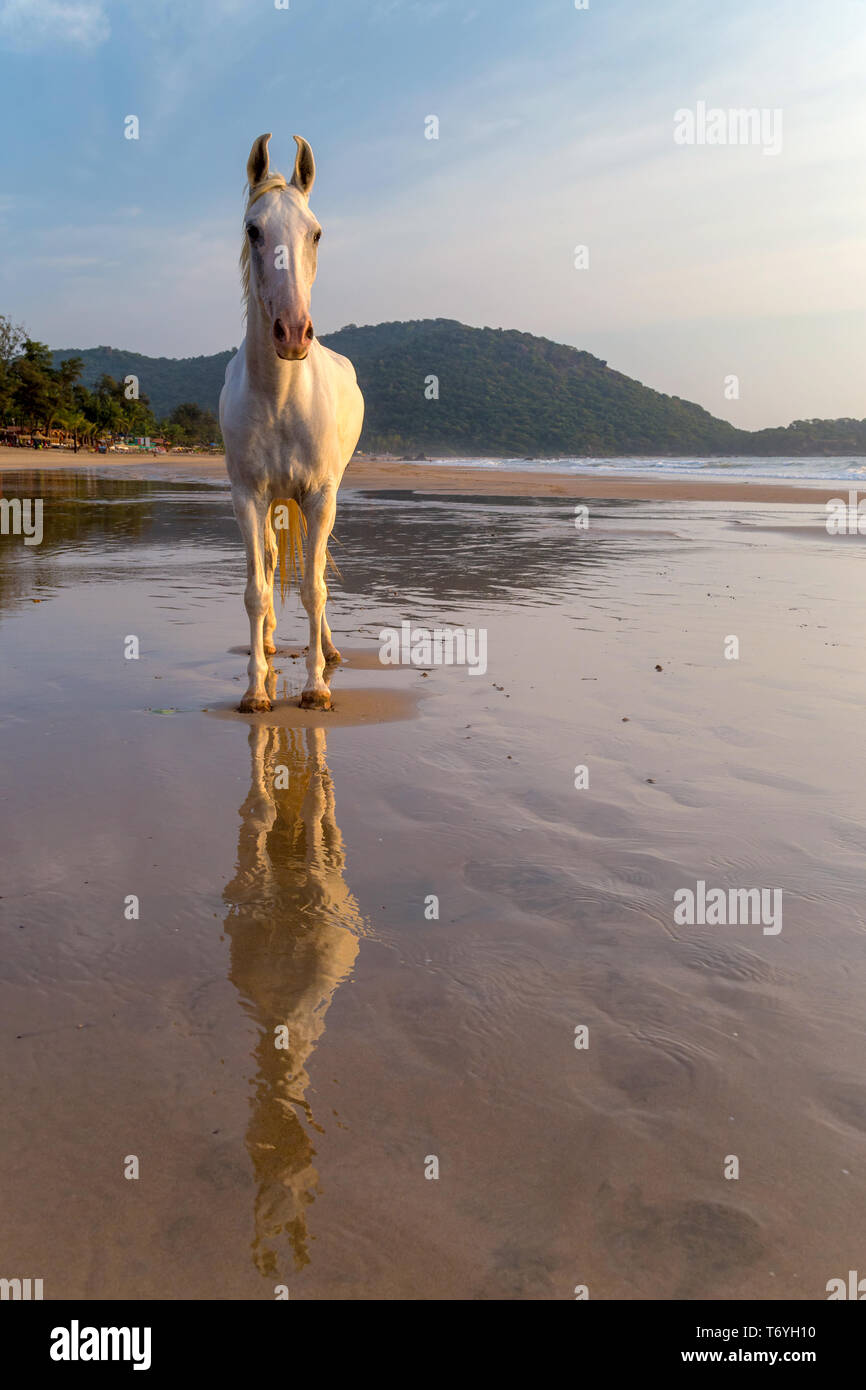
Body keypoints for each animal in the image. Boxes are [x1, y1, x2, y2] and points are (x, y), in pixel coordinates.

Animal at [219, 134, 366, 711]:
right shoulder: (247, 497)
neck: (281, 397)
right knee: (272, 559)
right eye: (252, 229)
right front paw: (255, 690)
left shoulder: (320, 494)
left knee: (314, 571)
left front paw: (316, 686)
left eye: (316, 231)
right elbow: (256, 589)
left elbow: (314, 586)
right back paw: (269, 645)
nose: (294, 333)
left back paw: (330, 651)